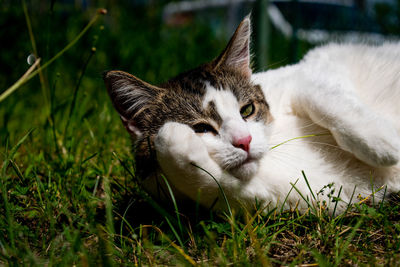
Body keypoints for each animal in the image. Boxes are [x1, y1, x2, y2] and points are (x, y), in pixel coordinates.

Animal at [104, 16, 400, 214]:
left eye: (247, 110)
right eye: (200, 129)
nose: (244, 141)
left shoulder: (318, 64)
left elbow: (322, 97)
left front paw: (385, 143)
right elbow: (205, 180)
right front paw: (173, 140)